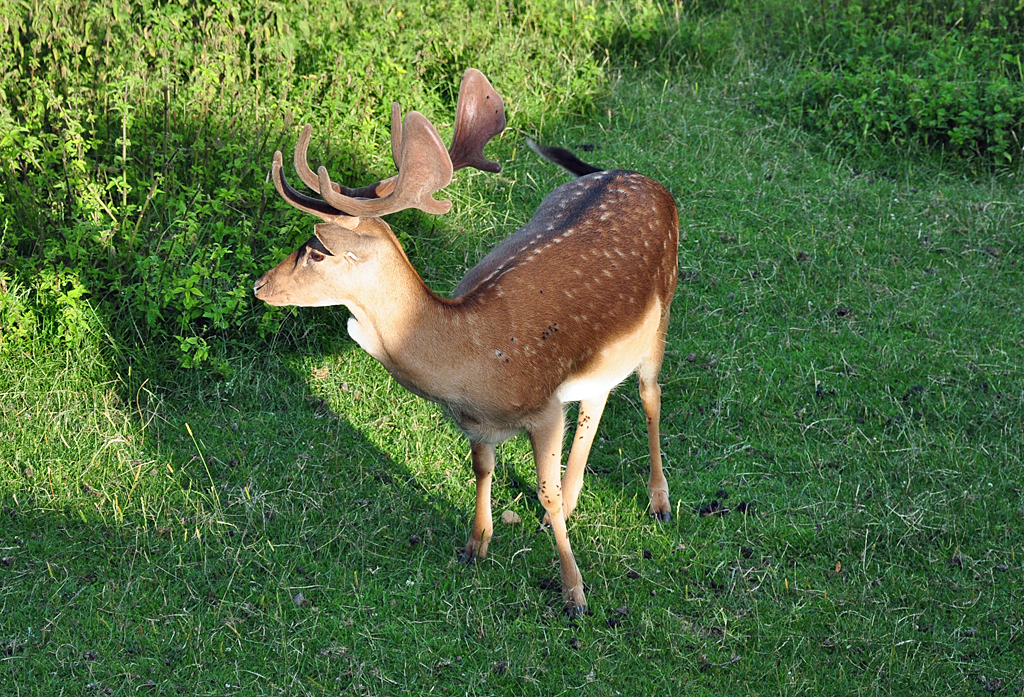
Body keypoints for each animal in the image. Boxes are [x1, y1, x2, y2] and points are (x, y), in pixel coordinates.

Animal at [251, 69, 675, 614]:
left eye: (318, 251)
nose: (260, 285)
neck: (470, 362)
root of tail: (641, 177)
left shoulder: (542, 407)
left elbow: (542, 489)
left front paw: (575, 592)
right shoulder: (476, 422)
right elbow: (481, 469)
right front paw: (476, 545)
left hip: (664, 309)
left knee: (650, 395)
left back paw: (659, 501)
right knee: (597, 400)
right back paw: (574, 500)